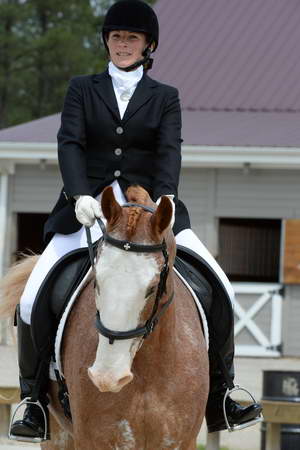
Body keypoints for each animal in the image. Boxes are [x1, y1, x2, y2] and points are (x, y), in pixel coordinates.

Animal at [0, 185, 209, 448]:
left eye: (152, 288)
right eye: (96, 280)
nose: (107, 377)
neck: (148, 373)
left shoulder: (181, 441)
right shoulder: (93, 439)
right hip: (58, 434)